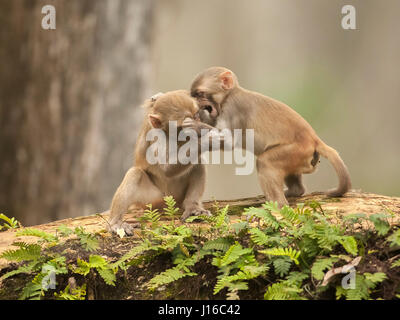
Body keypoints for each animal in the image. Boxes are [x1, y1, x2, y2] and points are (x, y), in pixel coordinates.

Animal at [107, 90, 216, 235]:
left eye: (196, 116)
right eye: (183, 127)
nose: (197, 129)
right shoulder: (157, 135)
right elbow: (166, 170)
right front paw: (208, 140)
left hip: (177, 198)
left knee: (197, 162)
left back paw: (193, 207)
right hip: (153, 201)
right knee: (135, 174)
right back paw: (116, 223)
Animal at [191, 68, 350, 208]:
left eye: (200, 94)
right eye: (193, 95)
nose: (196, 105)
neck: (229, 96)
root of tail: (314, 139)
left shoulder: (233, 108)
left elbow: (229, 142)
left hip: (295, 151)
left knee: (265, 162)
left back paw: (278, 206)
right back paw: (295, 191)